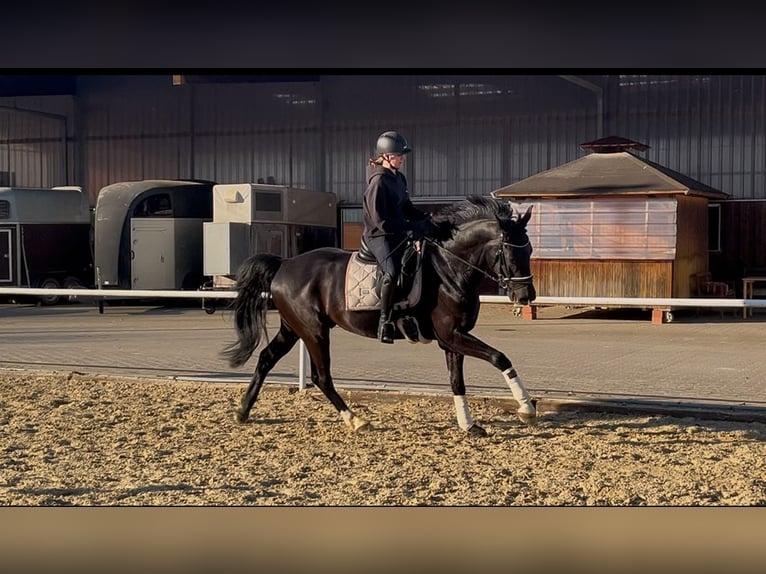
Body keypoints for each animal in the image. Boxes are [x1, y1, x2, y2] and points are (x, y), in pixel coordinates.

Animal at [220, 196, 536, 438]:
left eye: (530, 249)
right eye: (510, 252)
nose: (526, 297)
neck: (448, 269)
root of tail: (284, 264)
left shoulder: (451, 339)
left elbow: (457, 381)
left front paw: (469, 425)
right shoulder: (452, 335)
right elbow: (499, 357)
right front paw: (526, 409)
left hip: (292, 327)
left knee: (266, 358)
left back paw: (242, 411)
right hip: (314, 331)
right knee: (321, 376)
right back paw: (355, 420)